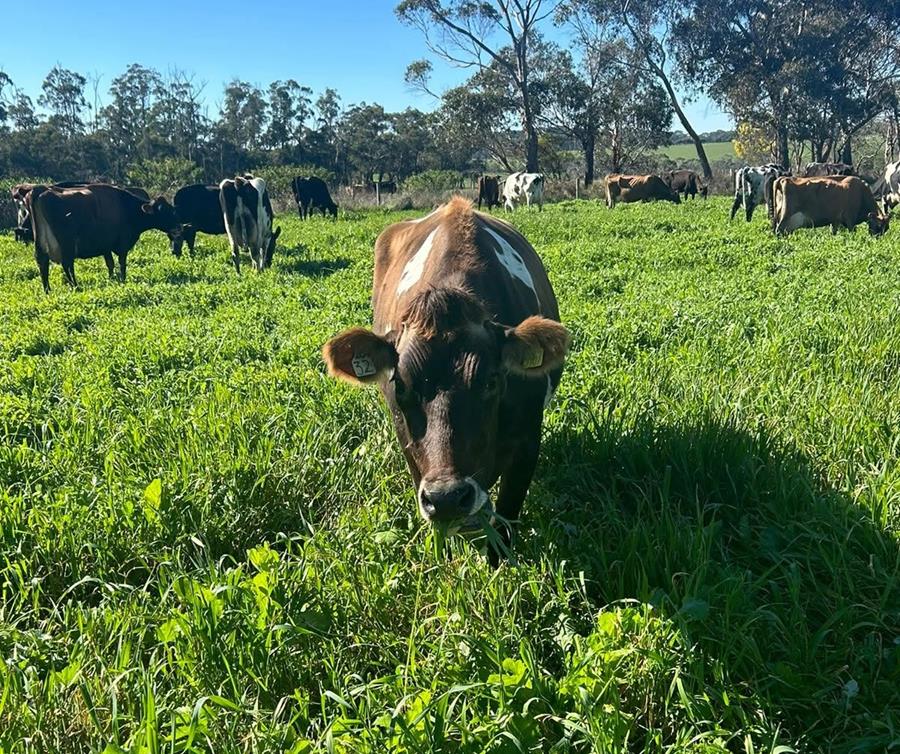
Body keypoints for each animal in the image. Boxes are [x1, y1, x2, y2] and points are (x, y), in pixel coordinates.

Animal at [26, 184, 179, 293]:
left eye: (172, 209)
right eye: (163, 211)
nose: (179, 227)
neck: (126, 208)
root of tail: (41, 190)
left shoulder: (105, 246)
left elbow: (110, 264)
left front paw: (111, 280)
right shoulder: (123, 243)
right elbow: (122, 263)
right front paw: (123, 280)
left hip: (40, 243)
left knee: (43, 264)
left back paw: (47, 290)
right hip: (66, 242)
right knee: (67, 263)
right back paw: (75, 286)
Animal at [322, 197, 570, 561]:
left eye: (491, 381)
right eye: (400, 386)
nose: (448, 497)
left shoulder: (527, 441)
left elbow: (505, 524)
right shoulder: (410, 448)